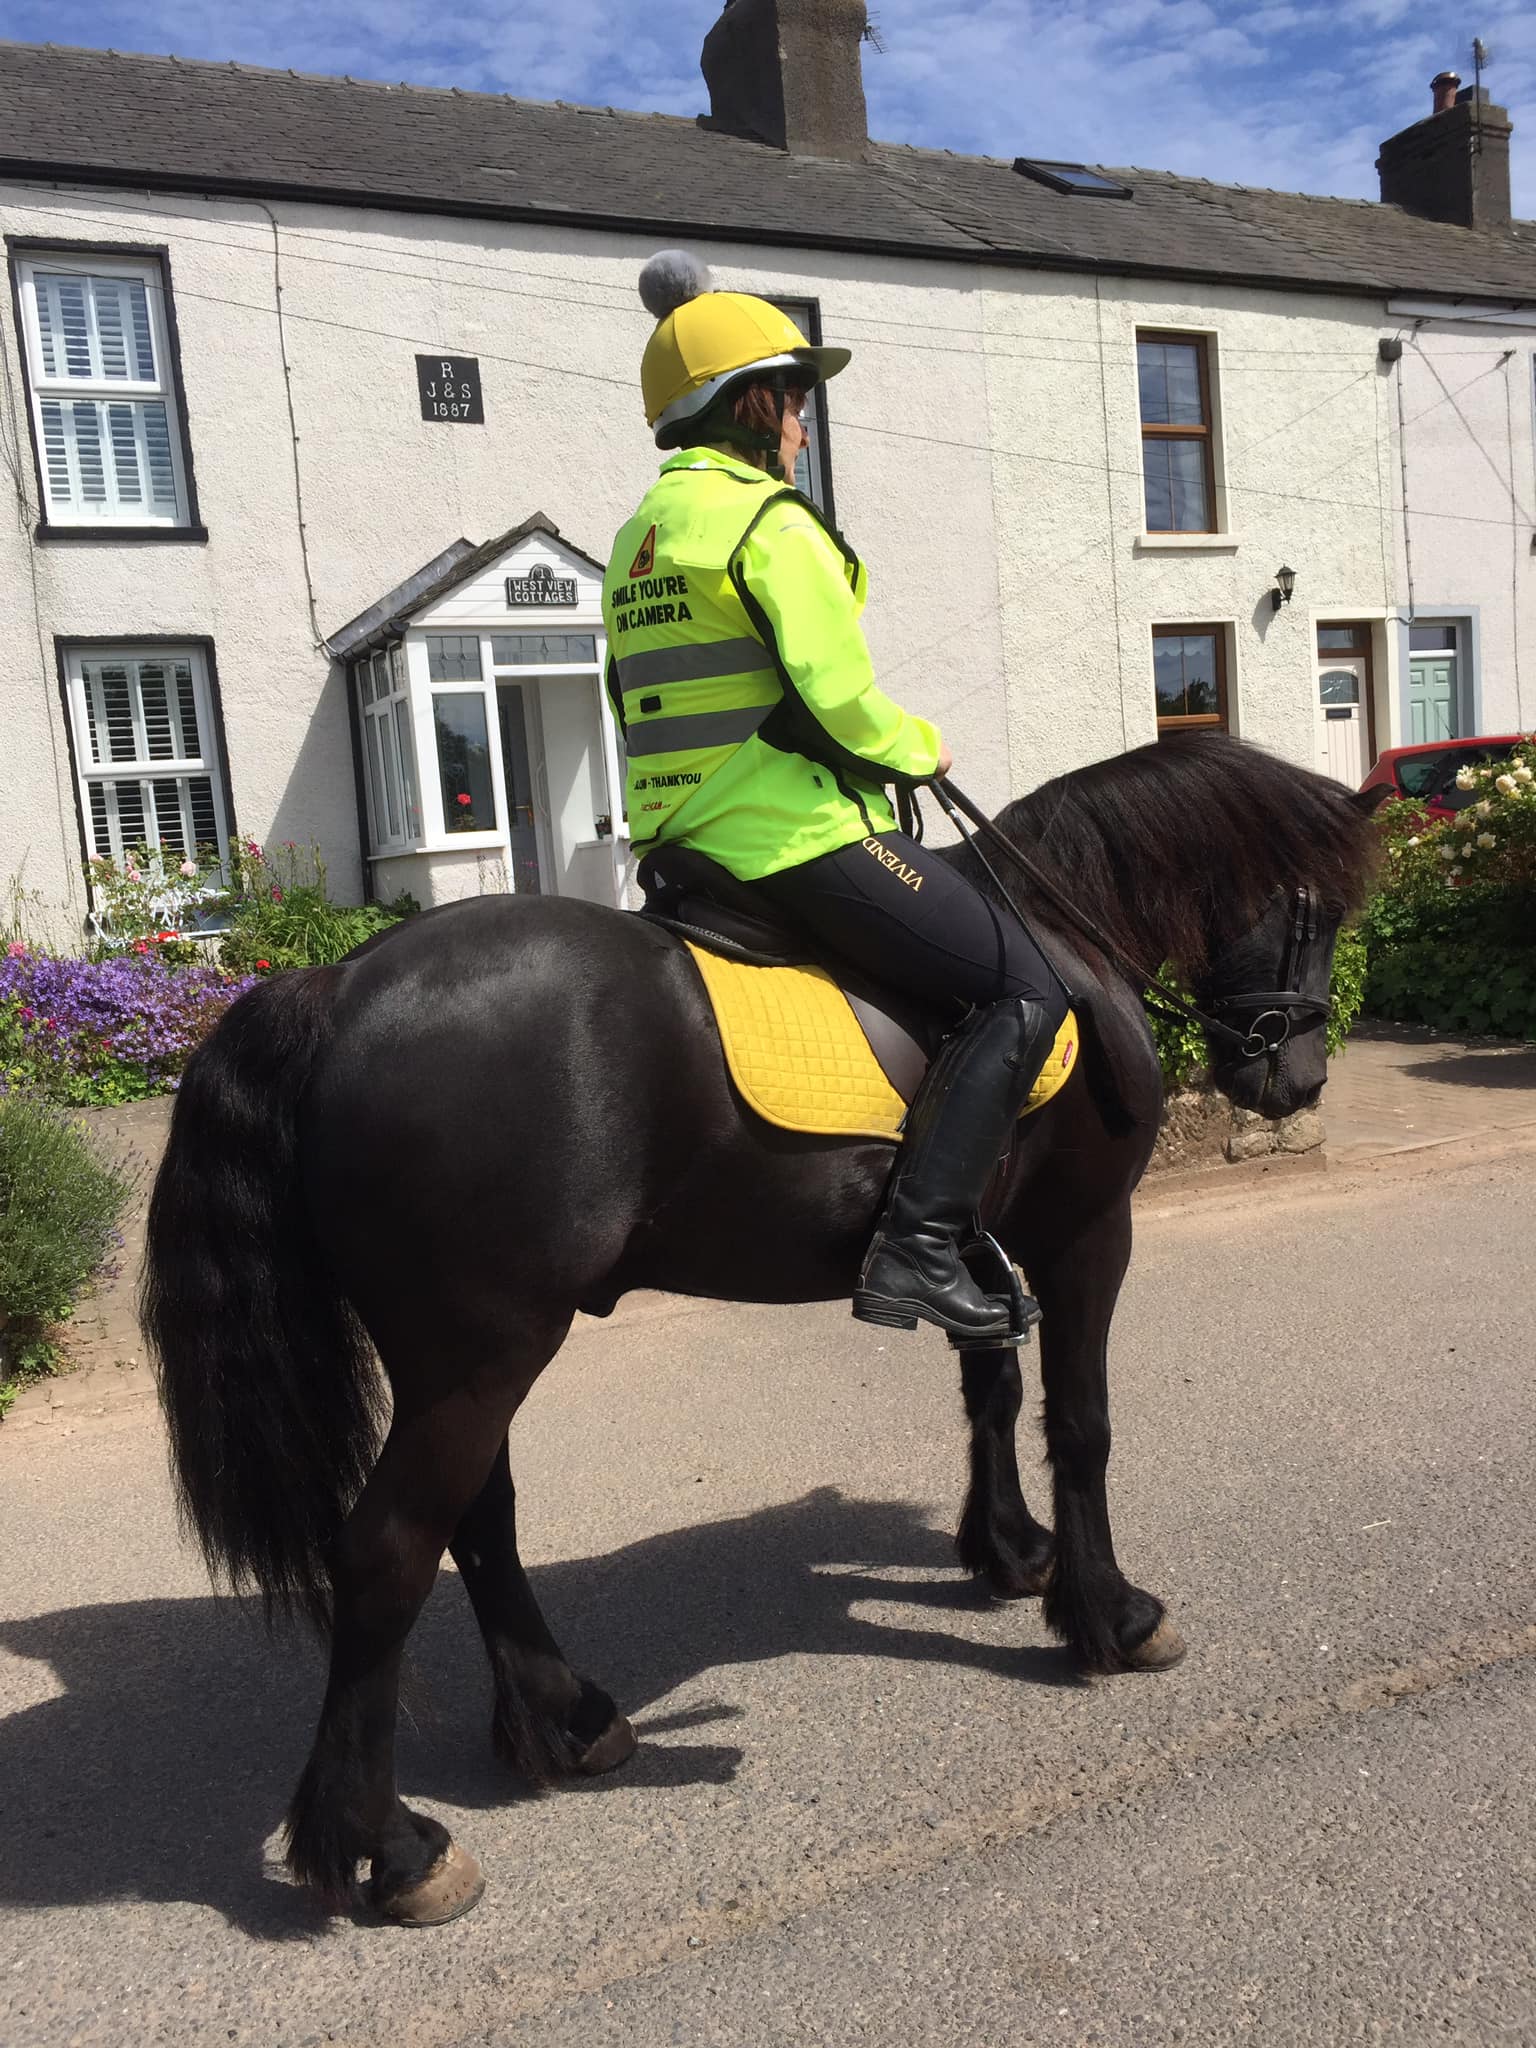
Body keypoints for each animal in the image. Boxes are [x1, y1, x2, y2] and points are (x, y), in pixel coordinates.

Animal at [144, 733, 1376, 1916]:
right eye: (1316, 910)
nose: (1298, 1080)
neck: (1064, 933)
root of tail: (341, 982)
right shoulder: (1086, 1236)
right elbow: (1080, 1423)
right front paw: (1109, 1615)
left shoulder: (977, 1246)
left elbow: (993, 1389)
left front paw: (1012, 1552)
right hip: (480, 1357)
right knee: (388, 1549)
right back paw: (393, 1848)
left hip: (459, 1361)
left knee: (477, 1520)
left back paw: (565, 1723)